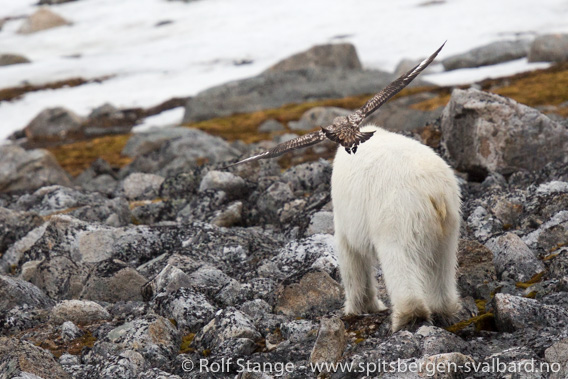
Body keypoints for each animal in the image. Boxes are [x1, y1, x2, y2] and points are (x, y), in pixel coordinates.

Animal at [332, 125, 462, 332]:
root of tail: (434, 192)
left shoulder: (347, 216)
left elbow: (351, 256)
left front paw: (358, 308)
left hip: (399, 215)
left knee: (399, 259)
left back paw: (409, 317)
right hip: (449, 220)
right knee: (442, 262)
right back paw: (443, 311)